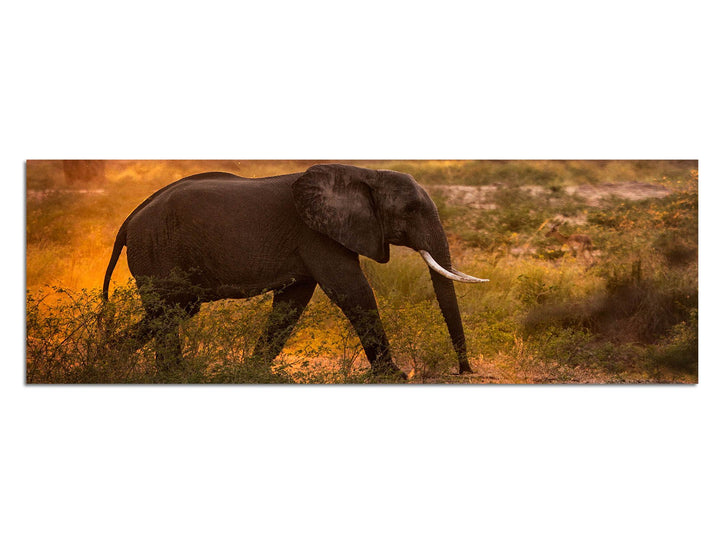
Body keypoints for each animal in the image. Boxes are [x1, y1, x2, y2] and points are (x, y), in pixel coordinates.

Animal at [102, 163, 487, 380]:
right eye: (409, 210)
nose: (464, 371)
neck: (365, 174)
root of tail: (129, 221)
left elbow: (292, 303)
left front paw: (253, 372)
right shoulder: (316, 233)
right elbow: (354, 291)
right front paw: (395, 376)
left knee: (175, 310)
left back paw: (110, 358)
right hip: (156, 249)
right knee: (169, 310)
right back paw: (166, 371)